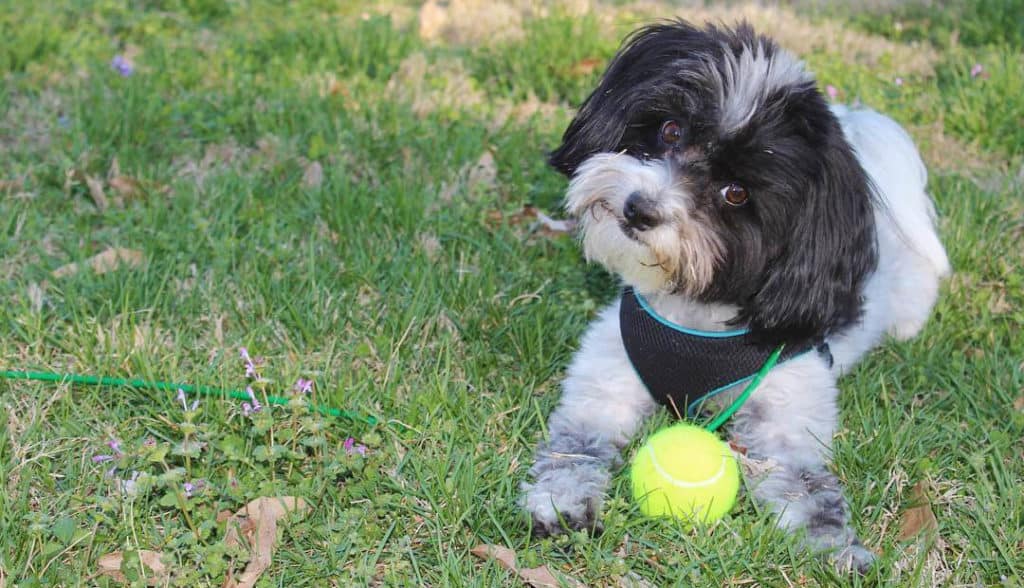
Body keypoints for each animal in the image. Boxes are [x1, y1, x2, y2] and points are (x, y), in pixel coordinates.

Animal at [520, 20, 950, 573]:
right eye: (671, 131)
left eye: (736, 193)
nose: (640, 208)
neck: (693, 313)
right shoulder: (606, 380)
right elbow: (575, 445)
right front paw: (563, 499)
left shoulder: (788, 414)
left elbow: (809, 488)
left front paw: (837, 550)